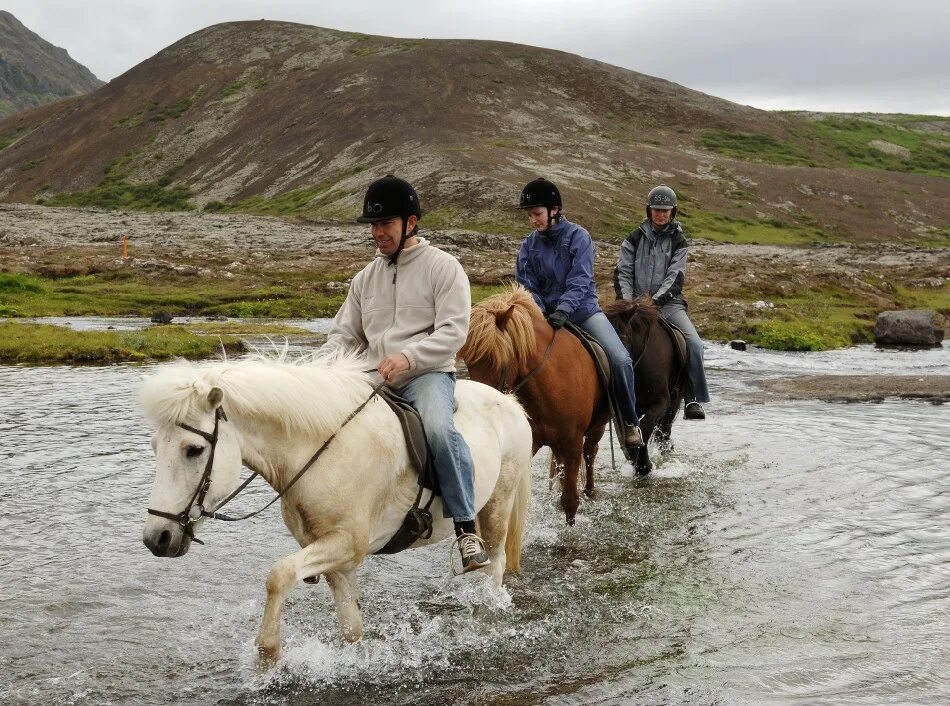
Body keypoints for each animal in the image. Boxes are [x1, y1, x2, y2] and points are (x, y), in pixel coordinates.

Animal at [139, 354, 536, 664]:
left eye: (193, 449)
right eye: (156, 446)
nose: (157, 538)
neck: (324, 451)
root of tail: (510, 403)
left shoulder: (347, 544)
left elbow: (279, 575)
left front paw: (268, 653)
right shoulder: (336, 559)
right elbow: (351, 627)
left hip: (497, 506)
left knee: (494, 564)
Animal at [462, 284, 608, 524]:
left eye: (494, 359)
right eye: (469, 362)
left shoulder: (573, 442)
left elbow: (570, 501)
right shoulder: (530, 442)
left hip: (598, 427)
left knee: (590, 453)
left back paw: (590, 490)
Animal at [608, 296, 688, 472]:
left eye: (622, 340)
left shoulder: (661, 401)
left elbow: (645, 428)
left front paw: (644, 465)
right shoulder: (626, 408)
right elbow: (630, 436)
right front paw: (635, 462)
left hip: (673, 403)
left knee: (664, 431)